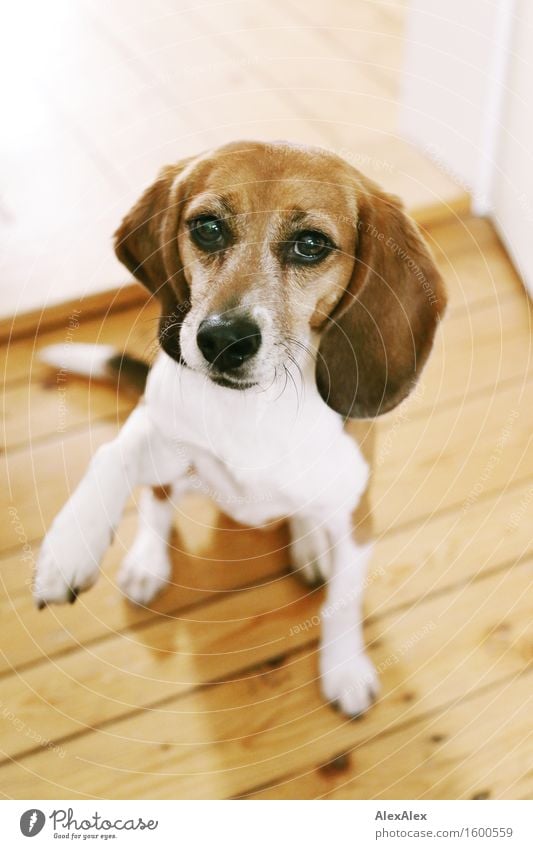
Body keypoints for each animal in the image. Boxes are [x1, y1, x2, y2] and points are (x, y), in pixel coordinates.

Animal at [35, 139, 444, 716]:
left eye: (311, 244)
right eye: (207, 228)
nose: (223, 340)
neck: (255, 407)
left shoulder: (355, 518)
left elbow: (343, 603)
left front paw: (344, 669)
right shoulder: (156, 428)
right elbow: (110, 458)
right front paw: (71, 546)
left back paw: (309, 546)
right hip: (178, 477)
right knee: (157, 502)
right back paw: (146, 562)